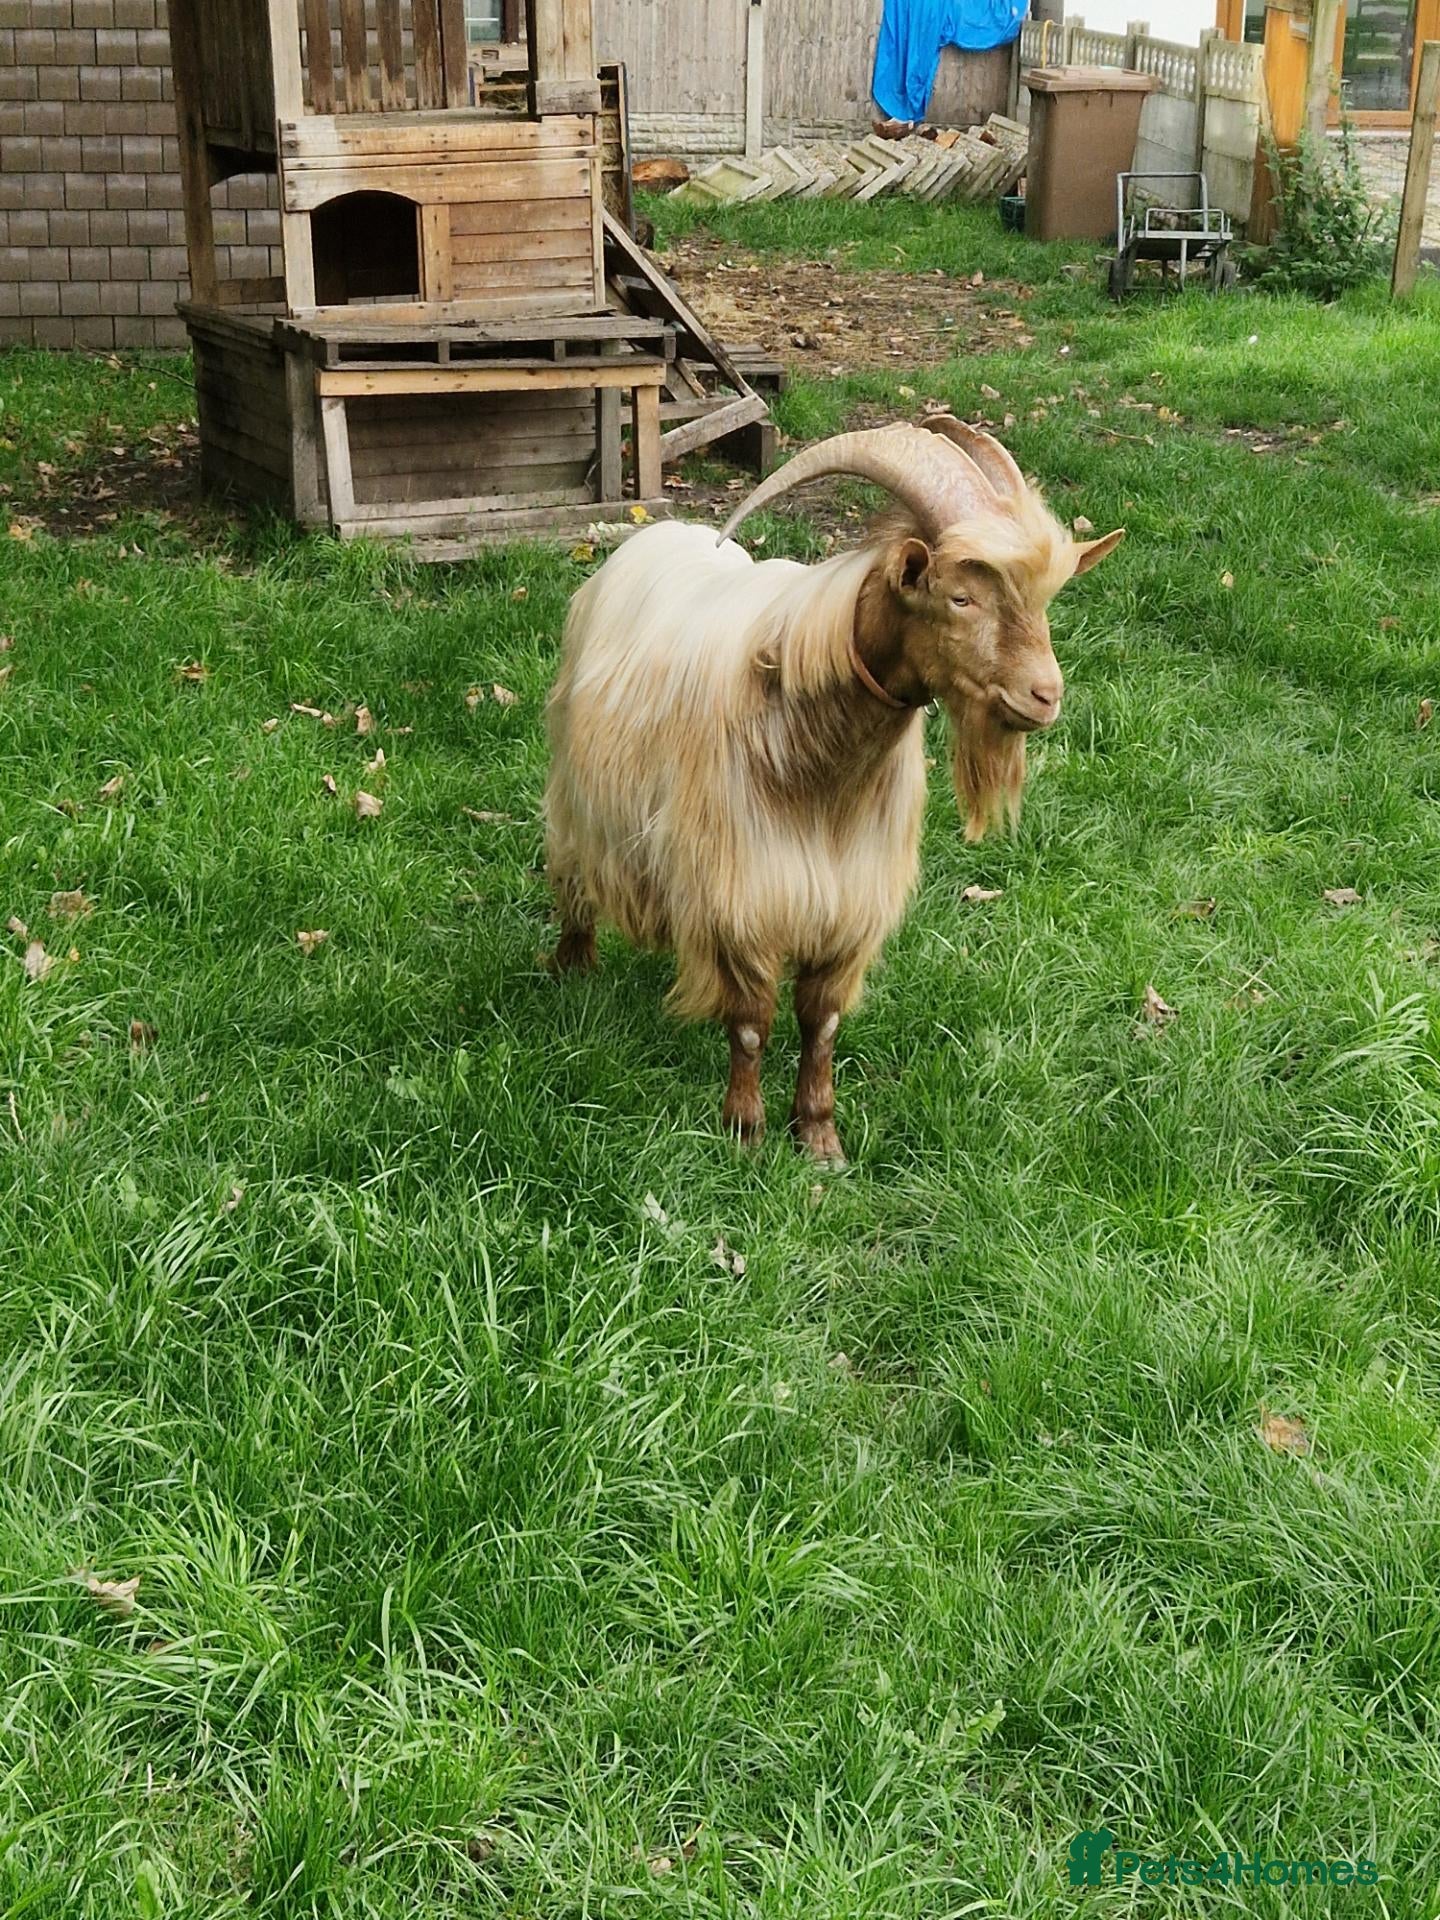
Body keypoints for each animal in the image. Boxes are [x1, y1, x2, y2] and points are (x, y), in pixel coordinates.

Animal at [543, 416, 1122, 1162]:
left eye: (1045, 602)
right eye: (960, 597)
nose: (1045, 696)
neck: (819, 772)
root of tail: (656, 532)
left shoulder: (848, 904)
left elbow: (821, 1023)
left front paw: (820, 1138)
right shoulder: (746, 893)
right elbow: (752, 1022)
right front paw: (745, 1131)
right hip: (575, 791)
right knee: (574, 876)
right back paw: (572, 967)